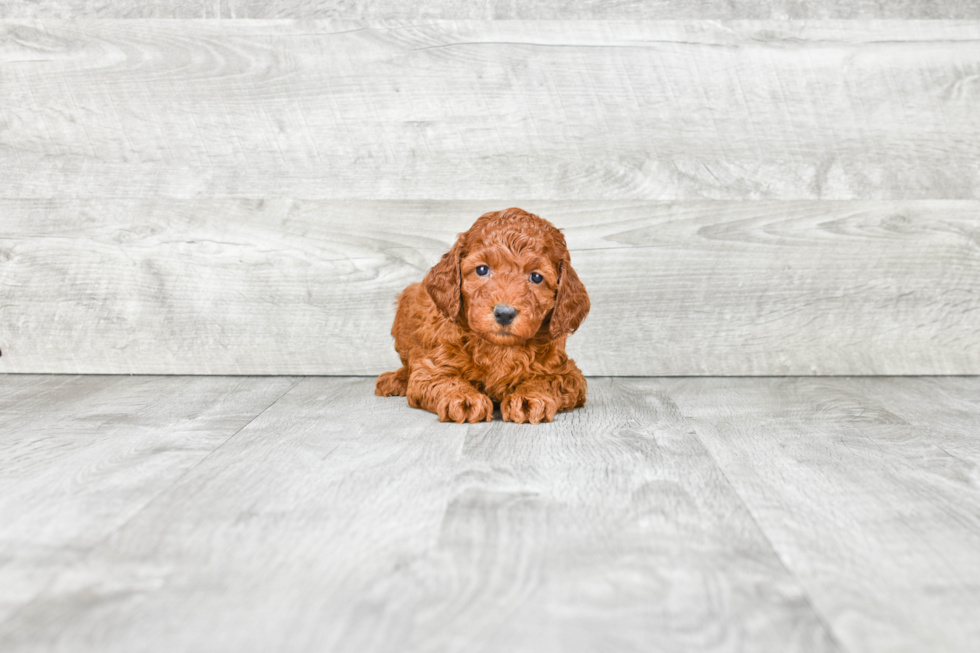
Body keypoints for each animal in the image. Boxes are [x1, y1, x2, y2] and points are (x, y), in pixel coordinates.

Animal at [376, 206, 588, 426]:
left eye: (536, 277)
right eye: (482, 269)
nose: (504, 313)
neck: (500, 349)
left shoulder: (566, 372)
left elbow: (548, 380)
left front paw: (529, 396)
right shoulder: (431, 366)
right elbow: (443, 379)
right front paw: (464, 397)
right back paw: (395, 380)